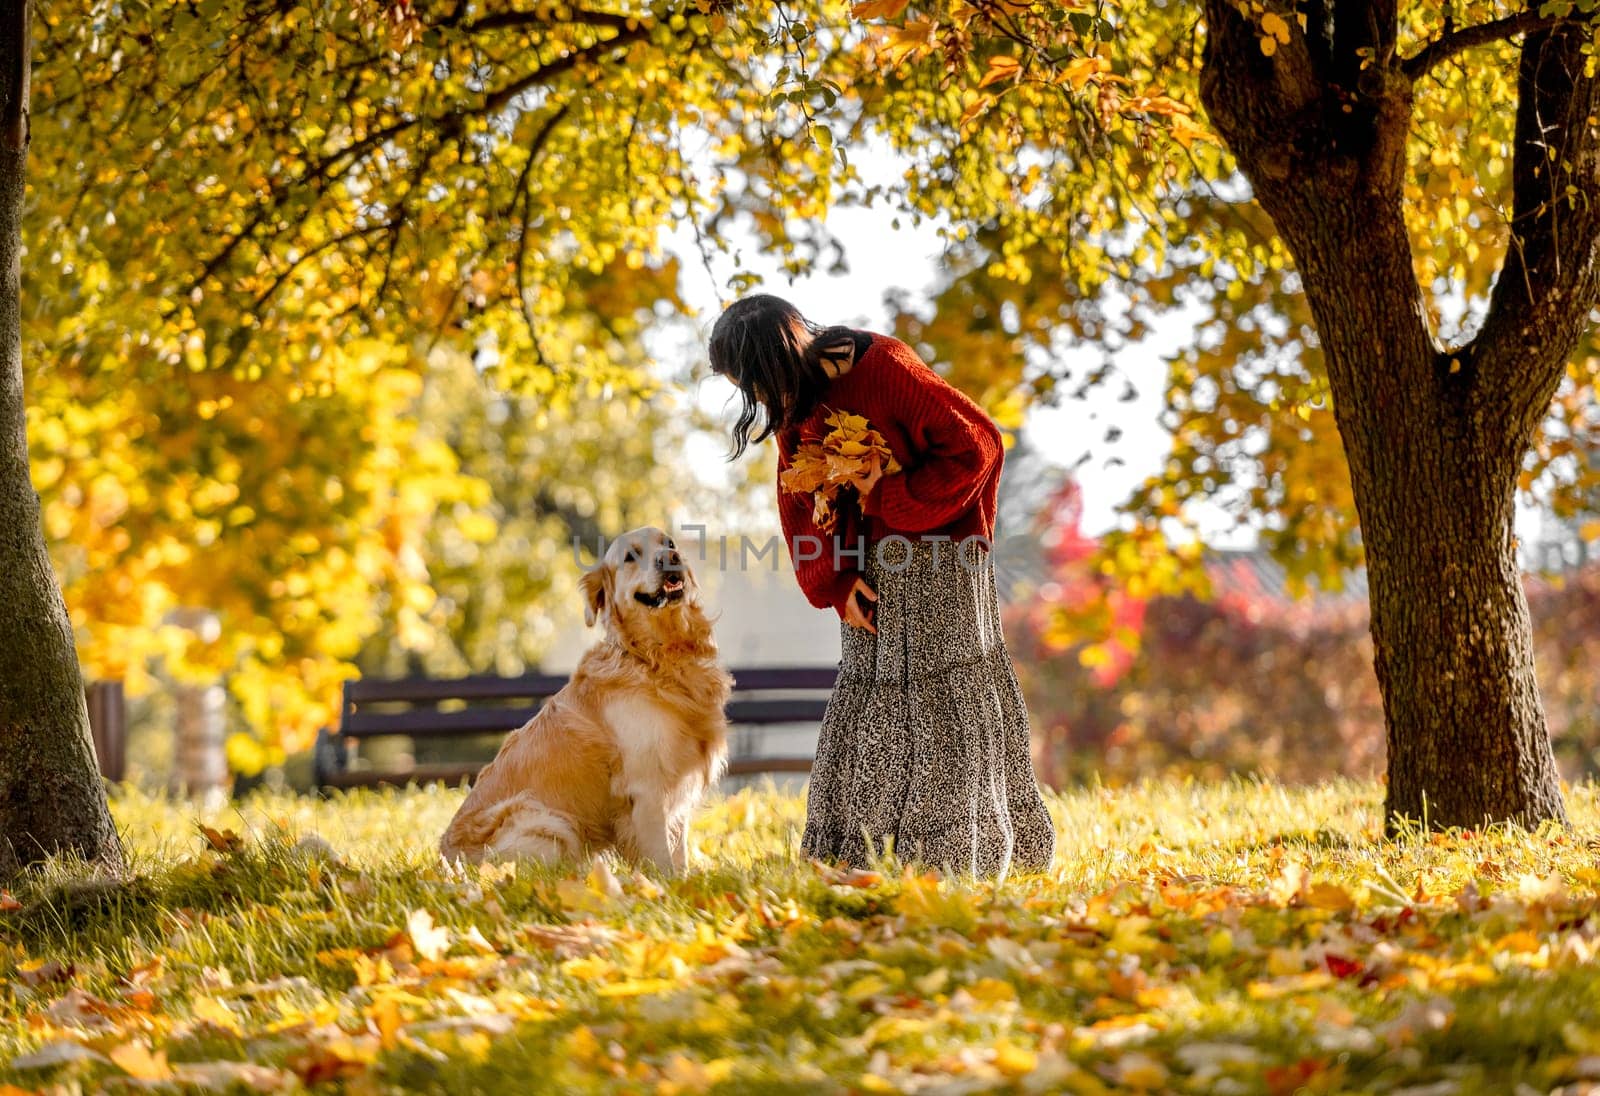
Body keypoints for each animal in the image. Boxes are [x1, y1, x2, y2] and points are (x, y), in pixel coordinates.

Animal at [441, 524, 732, 876]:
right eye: (630, 556)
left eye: (670, 543)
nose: (670, 558)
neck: (654, 658)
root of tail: (445, 862)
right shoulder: (646, 790)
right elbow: (662, 860)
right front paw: (663, 887)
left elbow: (680, 855)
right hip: (546, 821)